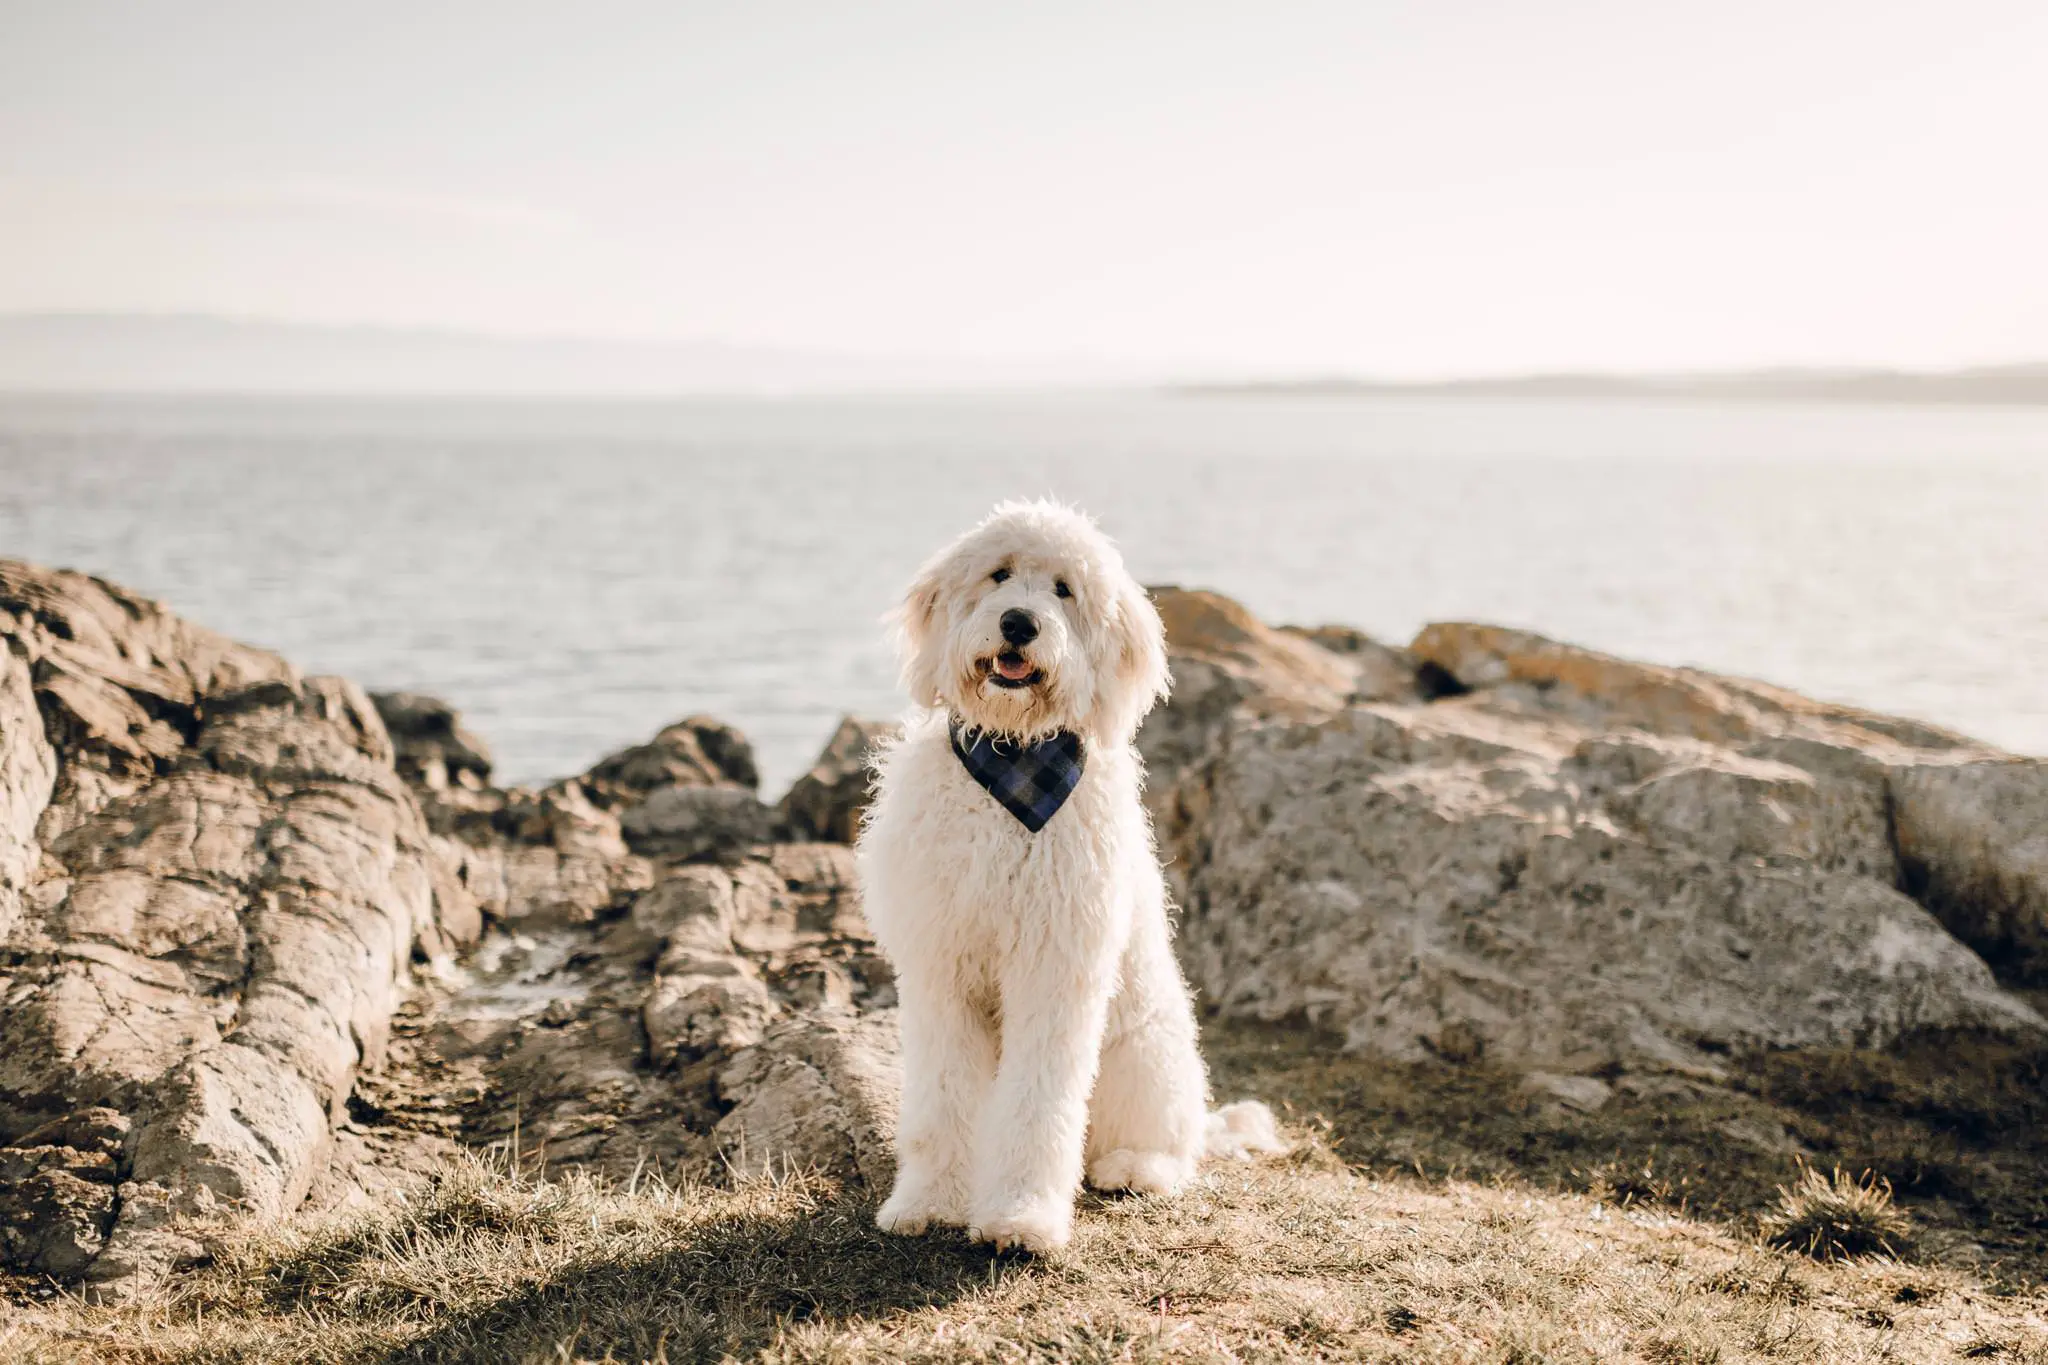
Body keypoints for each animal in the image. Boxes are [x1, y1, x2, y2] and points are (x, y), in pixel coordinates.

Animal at [851, 499, 1269, 1252]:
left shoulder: (1055, 967)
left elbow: (1038, 1104)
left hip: (1148, 1055)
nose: (1019, 622)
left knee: (1167, 1146)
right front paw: (930, 1201)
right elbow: (940, 1098)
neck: (1013, 760)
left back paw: (1134, 1167)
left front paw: (1021, 1216)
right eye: (999, 574)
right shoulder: (939, 967)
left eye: (1065, 590)